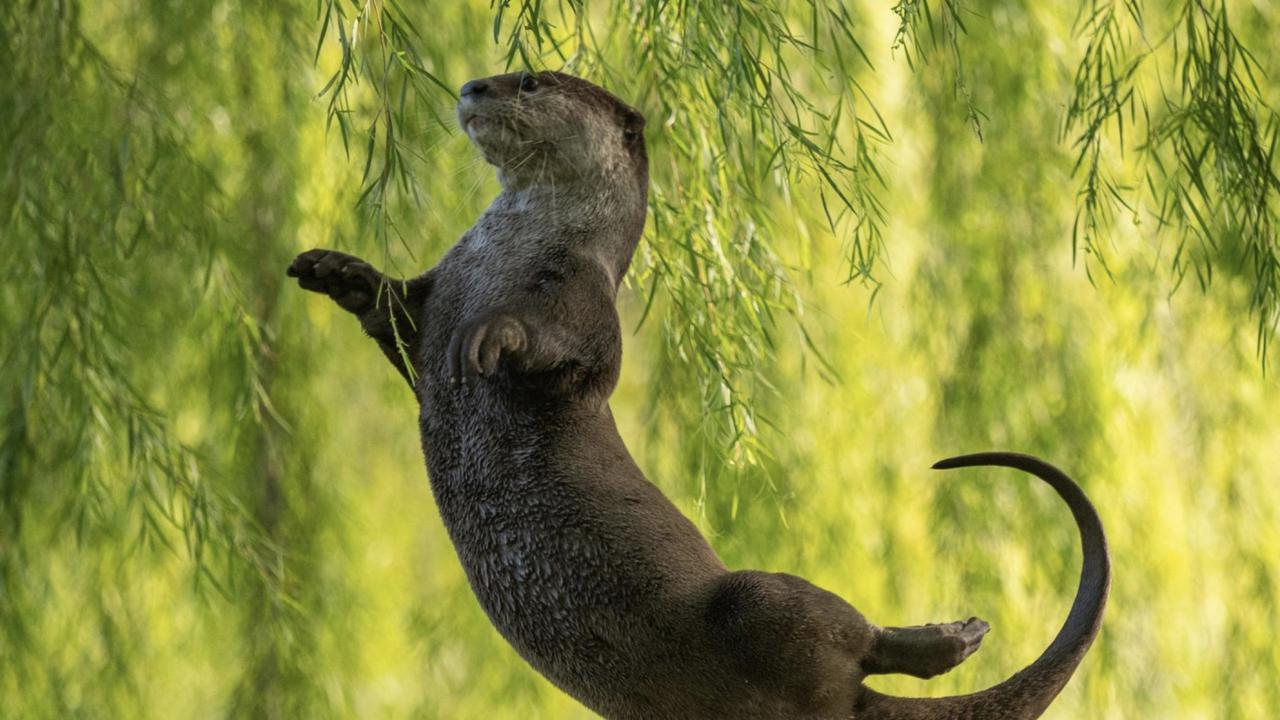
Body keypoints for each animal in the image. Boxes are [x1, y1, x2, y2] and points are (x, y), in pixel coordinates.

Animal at [285, 68, 1105, 717]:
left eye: (530, 80)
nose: (472, 86)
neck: (504, 252)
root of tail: (844, 703)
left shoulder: (584, 300)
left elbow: (563, 351)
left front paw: (493, 335)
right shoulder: (438, 289)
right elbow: (394, 315)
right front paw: (334, 269)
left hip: (754, 600)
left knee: (843, 633)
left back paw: (953, 638)